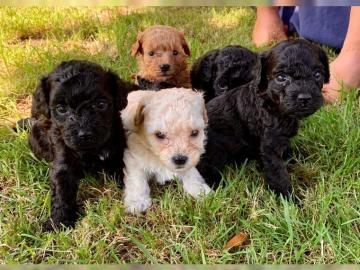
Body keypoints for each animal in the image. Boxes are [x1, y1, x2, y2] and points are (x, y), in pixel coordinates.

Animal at [27, 59, 138, 230]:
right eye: (61, 108)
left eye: (101, 104)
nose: (84, 134)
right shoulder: (62, 159)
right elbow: (61, 190)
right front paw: (59, 220)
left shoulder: (118, 152)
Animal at [197, 40, 330, 199]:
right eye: (281, 78)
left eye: (317, 75)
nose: (304, 98)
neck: (271, 103)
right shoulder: (268, 147)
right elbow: (278, 173)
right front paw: (289, 199)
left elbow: (286, 149)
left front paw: (298, 156)